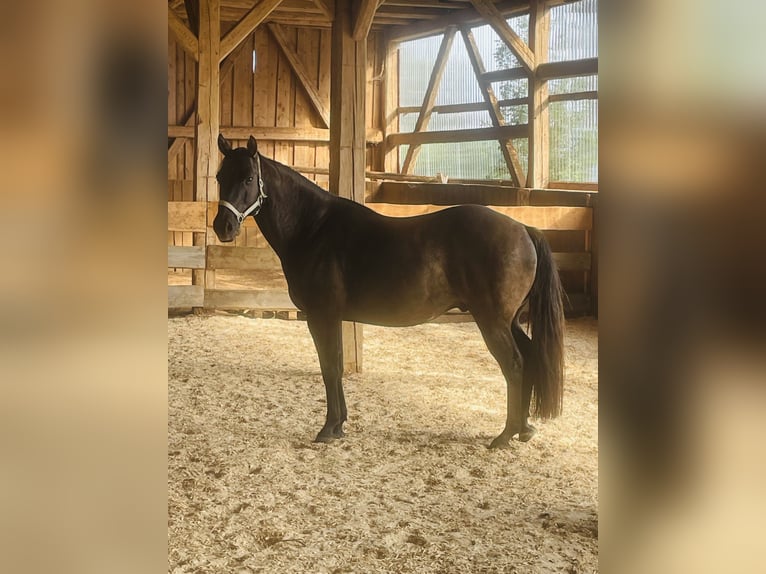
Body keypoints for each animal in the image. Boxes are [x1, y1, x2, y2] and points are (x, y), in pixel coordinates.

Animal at [213, 135, 568, 450]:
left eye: (248, 177)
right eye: (219, 176)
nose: (223, 227)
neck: (314, 228)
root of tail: (523, 229)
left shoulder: (322, 316)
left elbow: (330, 367)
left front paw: (329, 428)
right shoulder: (333, 318)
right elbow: (335, 365)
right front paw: (340, 425)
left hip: (493, 322)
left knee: (515, 365)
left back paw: (505, 435)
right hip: (510, 321)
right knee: (530, 357)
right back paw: (524, 429)